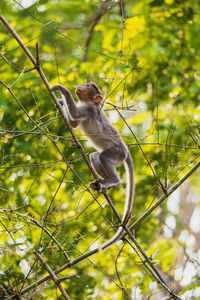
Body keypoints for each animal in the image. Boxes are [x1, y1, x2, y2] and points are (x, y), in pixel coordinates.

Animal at [51, 82, 134, 251]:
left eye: (88, 86)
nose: (80, 86)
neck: (91, 103)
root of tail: (126, 150)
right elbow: (73, 123)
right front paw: (60, 102)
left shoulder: (88, 108)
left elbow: (75, 114)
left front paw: (61, 90)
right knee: (95, 157)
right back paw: (103, 182)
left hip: (118, 152)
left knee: (103, 157)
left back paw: (114, 181)